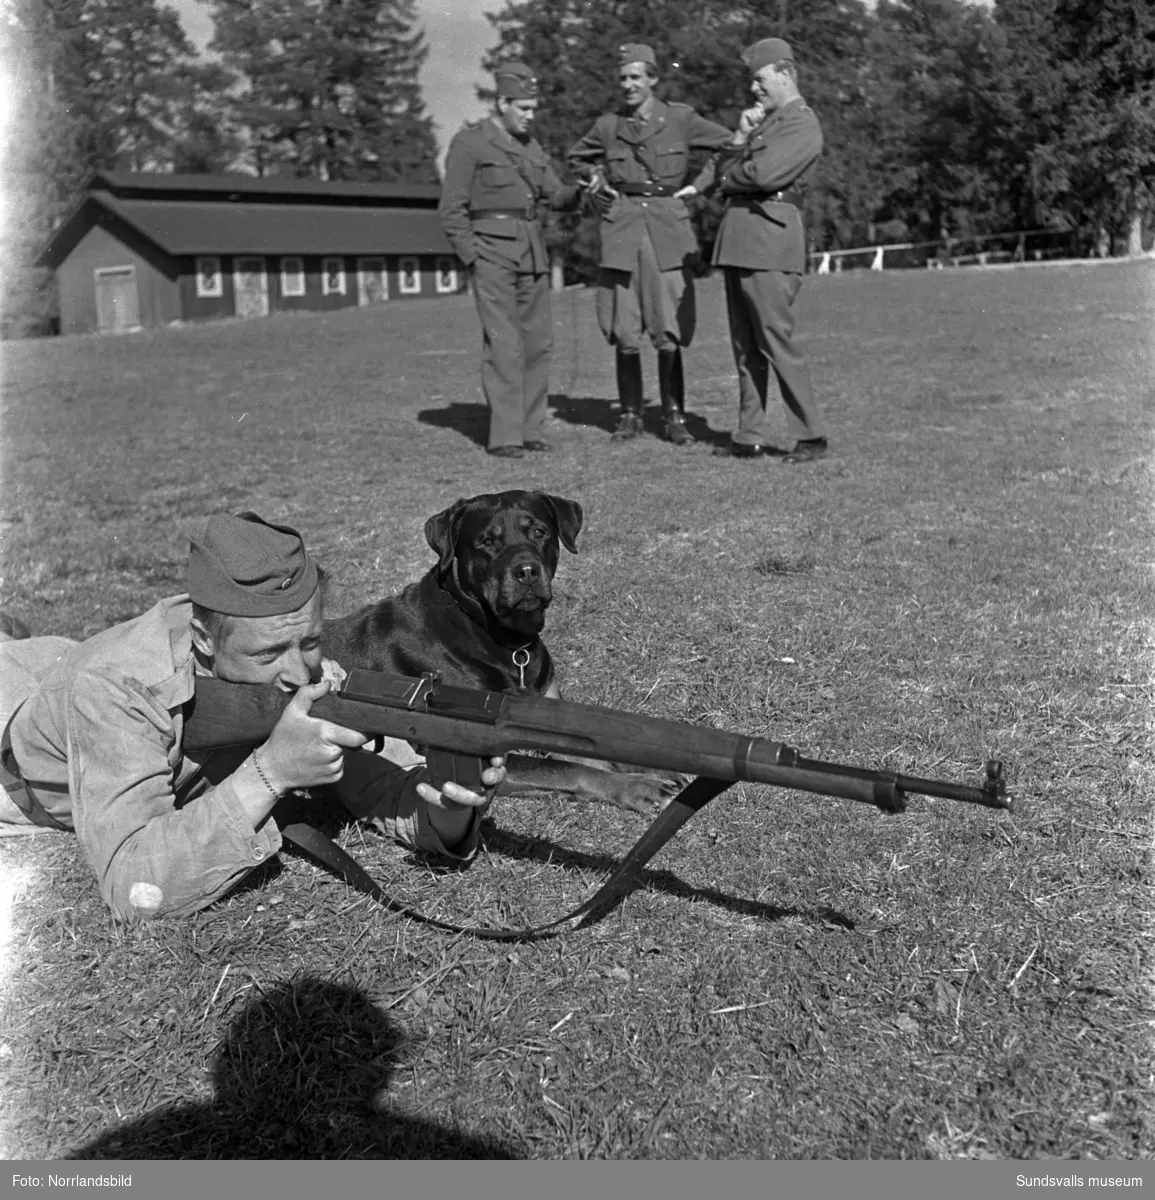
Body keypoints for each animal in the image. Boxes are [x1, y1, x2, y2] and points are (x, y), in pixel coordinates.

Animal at [324, 489, 677, 816]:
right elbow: (564, 766)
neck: (507, 640)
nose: (527, 570)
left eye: (539, 531)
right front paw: (637, 786)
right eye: (486, 541)